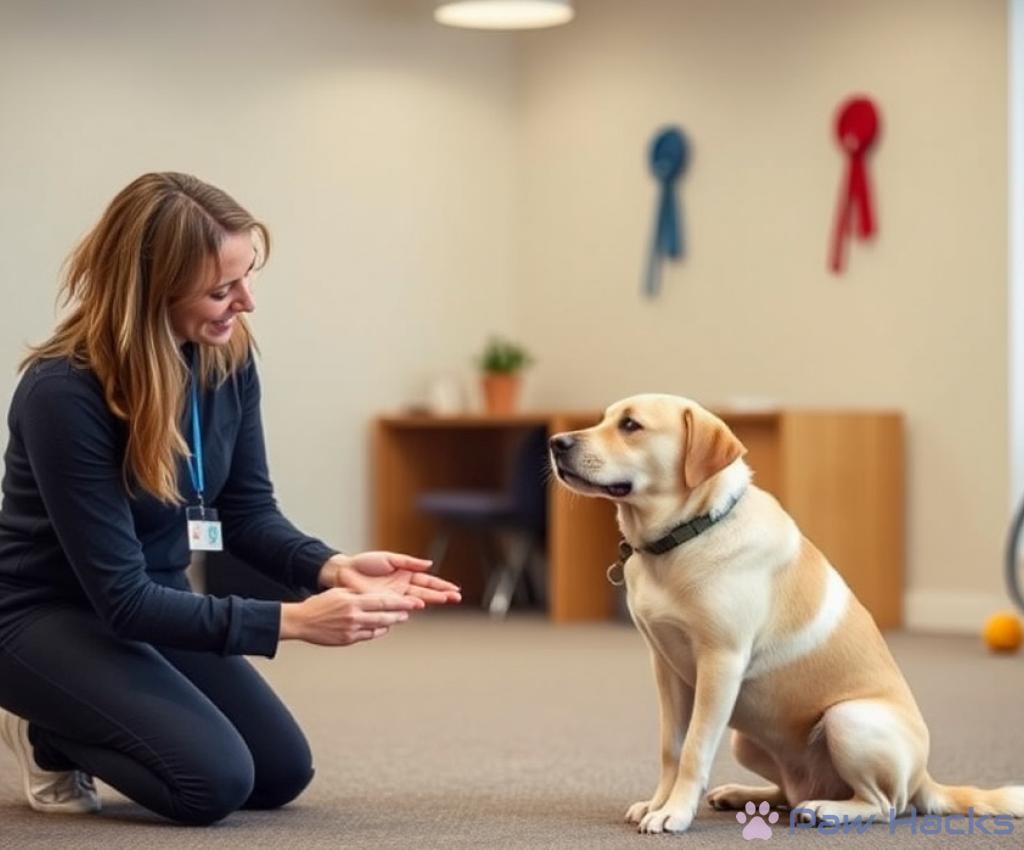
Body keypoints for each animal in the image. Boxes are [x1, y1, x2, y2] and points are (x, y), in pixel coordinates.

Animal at [552, 395, 1024, 835]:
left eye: (631, 425)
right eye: (602, 418)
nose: (556, 443)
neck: (689, 535)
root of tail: (926, 779)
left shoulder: (720, 662)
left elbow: (694, 749)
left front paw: (675, 813)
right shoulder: (666, 667)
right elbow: (671, 747)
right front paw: (657, 803)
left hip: (848, 719)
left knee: (884, 805)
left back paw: (827, 810)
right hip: (745, 741)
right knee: (790, 789)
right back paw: (745, 796)